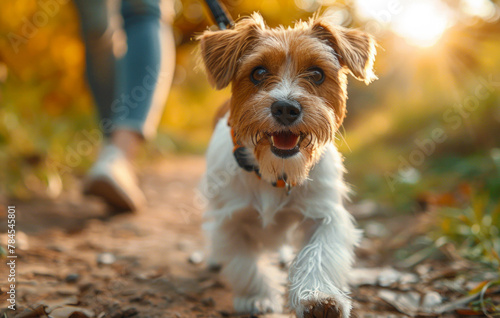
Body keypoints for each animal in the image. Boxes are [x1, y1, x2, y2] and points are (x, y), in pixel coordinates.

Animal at [197, 12, 376, 318]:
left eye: (317, 73)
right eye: (258, 73)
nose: (285, 108)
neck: (273, 171)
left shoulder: (325, 215)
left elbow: (319, 253)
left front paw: (319, 298)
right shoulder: (231, 218)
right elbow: (244, 264)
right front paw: (256, 297)